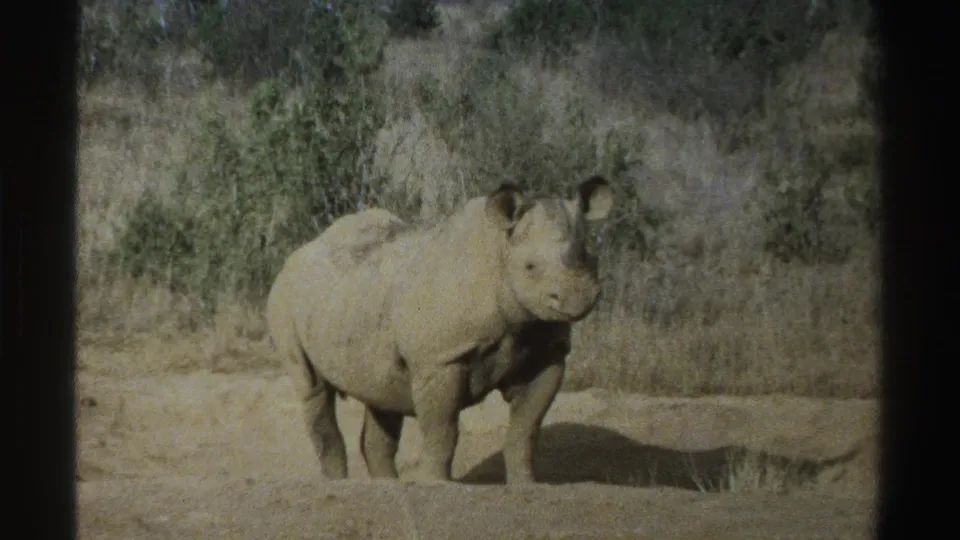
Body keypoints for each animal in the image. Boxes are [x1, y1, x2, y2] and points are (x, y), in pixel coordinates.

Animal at [265, 176, 615, 484]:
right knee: (313, 388)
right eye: (530, 267)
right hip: (285, 297)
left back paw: (387, 487)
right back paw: (340, 485)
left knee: (380, 393)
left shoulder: (546, 352)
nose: (577, 297)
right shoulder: (440, 359)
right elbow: (442, 430)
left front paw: (527, 486)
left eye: (592, 258)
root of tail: (298, 253)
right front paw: (437, 484)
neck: (499, 253)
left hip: (351, 299)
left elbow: (525, 430)